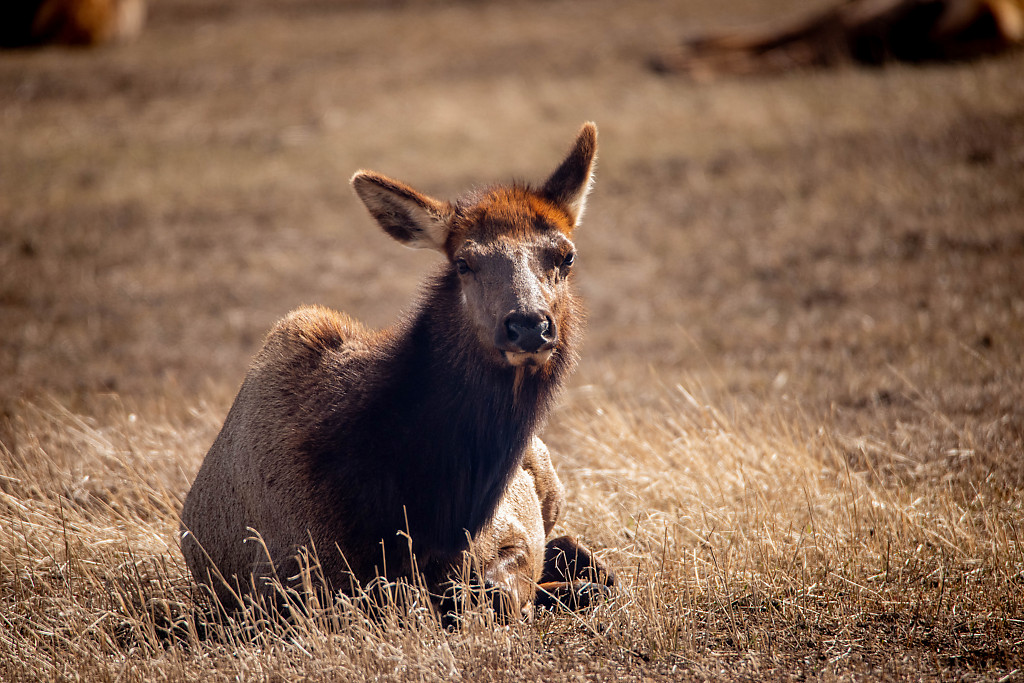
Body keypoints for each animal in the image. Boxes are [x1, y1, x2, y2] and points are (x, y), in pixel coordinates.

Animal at [180, 123, 614, 622]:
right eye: (463, 262)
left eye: (566, 256)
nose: (528, 324)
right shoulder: (286, 581)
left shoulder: (506, 536)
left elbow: (500, 584)